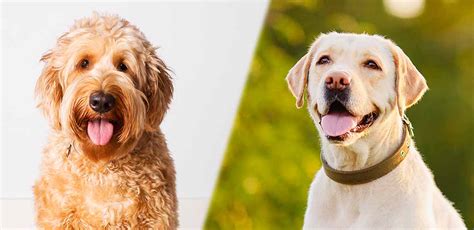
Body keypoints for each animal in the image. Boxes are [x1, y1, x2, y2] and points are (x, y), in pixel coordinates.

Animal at [33, 13, 178, 228]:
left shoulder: (158, 217)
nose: (101, 101)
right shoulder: (57, 215)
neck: (101, 163)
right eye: (84, 63)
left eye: (123, 66)